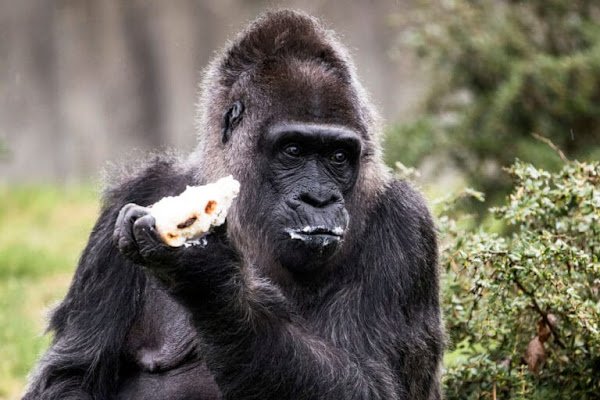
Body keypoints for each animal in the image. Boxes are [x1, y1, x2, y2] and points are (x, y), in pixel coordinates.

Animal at [23, 9, 442, 400]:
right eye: (293, 150)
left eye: (338, 157)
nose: (319, 198)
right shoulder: (135, 193)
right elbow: (71, 376)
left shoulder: (407, 224)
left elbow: (374, 383)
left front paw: (211, 278)